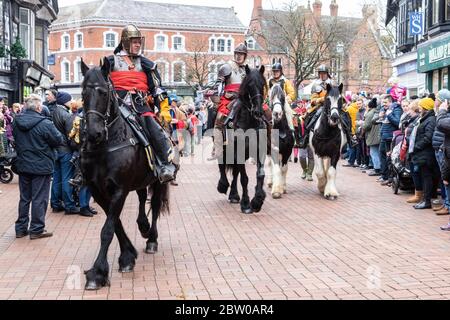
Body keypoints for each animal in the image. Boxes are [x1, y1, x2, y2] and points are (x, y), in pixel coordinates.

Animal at [81, 59, 172, 290]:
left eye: (104, 92)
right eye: (83, 93)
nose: (93, 133)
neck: (105, 146)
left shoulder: (119, 190)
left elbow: (107, 229)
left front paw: (97, 273)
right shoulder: (98, 191)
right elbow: (115, 224)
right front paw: (127, 256)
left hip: (158, 181)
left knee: (154, 205)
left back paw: (151, 238)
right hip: (140, 181)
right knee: (141, 199)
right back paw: (143, 225)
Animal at [217, 65, 268, 214]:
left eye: (262, 85)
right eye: (249, 85)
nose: (258, 111)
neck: (249, 122)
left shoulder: (259, 151)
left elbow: (260, 174)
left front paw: (257, 200)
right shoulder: (238, 152)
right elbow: (244, 178)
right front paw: (246, 204)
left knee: (235, 172)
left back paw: (234, 195)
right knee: (222, 164)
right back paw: (223, 185)